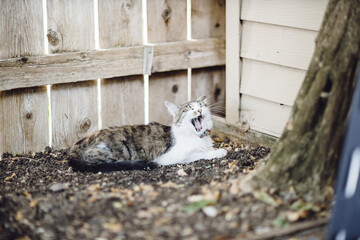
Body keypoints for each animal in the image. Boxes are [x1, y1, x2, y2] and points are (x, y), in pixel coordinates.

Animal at [67, 94, 228, 172]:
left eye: (200, 105)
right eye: (189, 109)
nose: (198, 110)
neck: (196, 136)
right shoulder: (169, 157)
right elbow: (199, 154)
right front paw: (219, 152)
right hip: (120, 150)